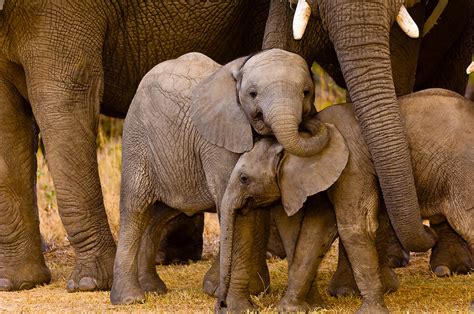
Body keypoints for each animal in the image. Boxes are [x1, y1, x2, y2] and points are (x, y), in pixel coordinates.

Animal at [109, 50, 330, 306]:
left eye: (306, 92)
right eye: (252, 94)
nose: (314, 125)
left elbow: (252, 209)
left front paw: (241, 290)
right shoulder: (219, 140)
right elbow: (234, 208)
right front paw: (224, 294)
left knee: (161, 213)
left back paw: (153, 289)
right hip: (138, 138)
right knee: (135, 207)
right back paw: (130, 299)